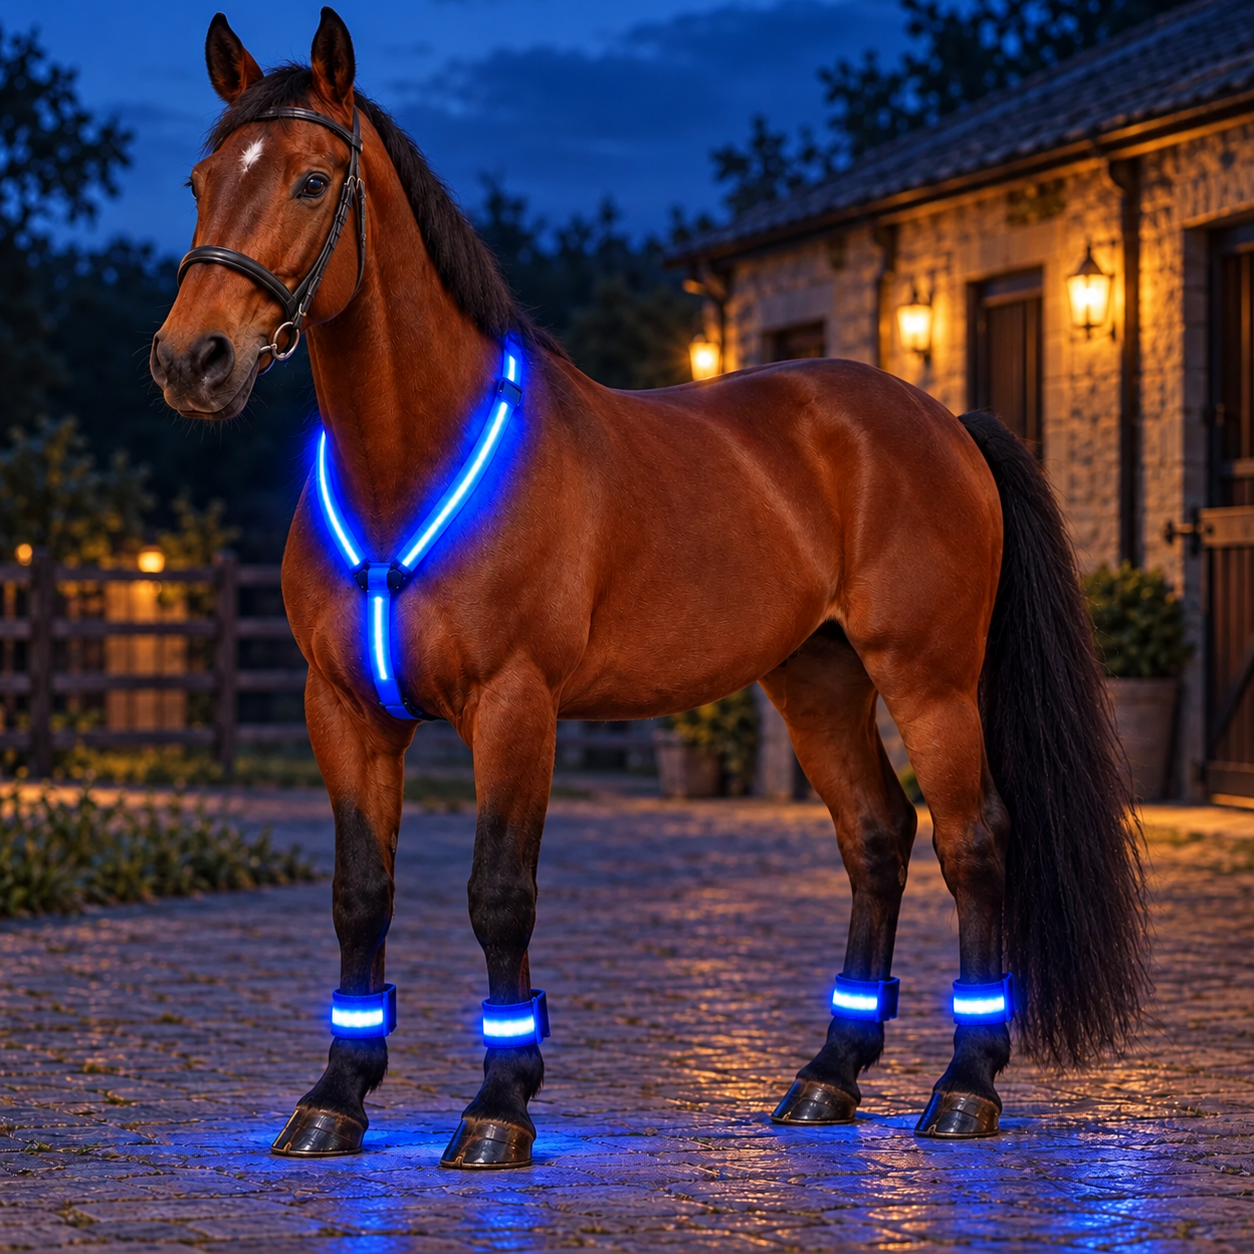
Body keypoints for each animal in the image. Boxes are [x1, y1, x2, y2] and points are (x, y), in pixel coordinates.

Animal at [151, 8, 1147, 1169]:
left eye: (312, 182)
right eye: (198, 180)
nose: (192, 360)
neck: (408, 465)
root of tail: (941, 420)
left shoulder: (515, 706)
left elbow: (501, 897)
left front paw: (499, 1108)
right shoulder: (342, 710)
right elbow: (361, 897)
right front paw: (335, 1098)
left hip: (930, 680)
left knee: (972, 841)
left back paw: (964, 1088)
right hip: (817, 680)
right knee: (876, 838)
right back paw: (828, 1076)